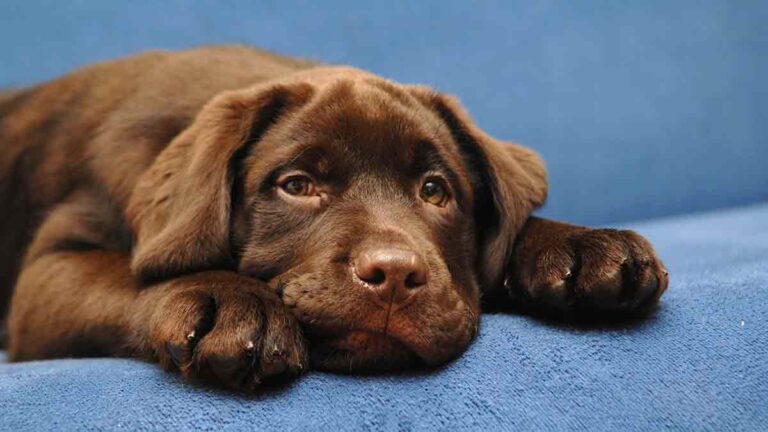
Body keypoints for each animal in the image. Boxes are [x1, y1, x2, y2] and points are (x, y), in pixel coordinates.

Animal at [0, 45, 664, 390]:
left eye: (435, 191)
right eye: (297, 186)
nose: (394, 275)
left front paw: (577, 246)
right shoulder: (46, 278)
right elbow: (128, 274)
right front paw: (223, 301)